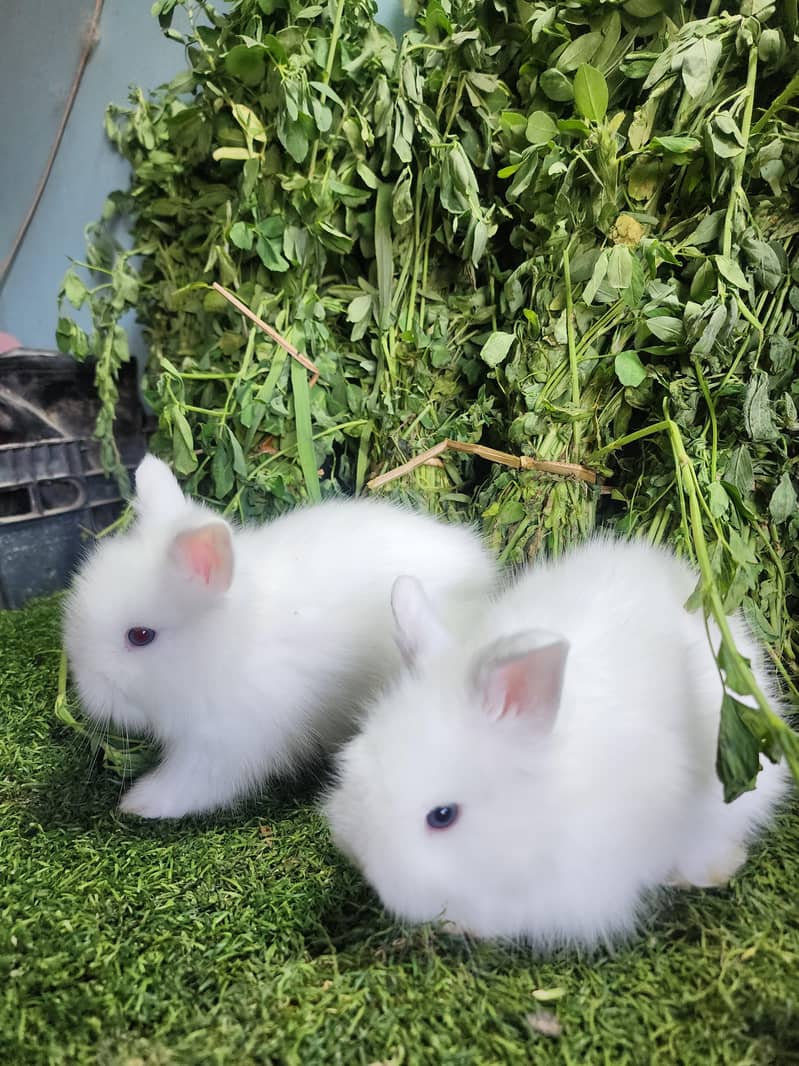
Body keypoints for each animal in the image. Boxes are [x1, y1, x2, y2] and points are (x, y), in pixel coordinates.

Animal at [63, 455, 498, 819]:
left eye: (140, 636)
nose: (86, 693)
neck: (229, 647)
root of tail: (483, 568)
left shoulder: (225, 745)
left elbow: (190, 785)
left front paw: (137, 802)